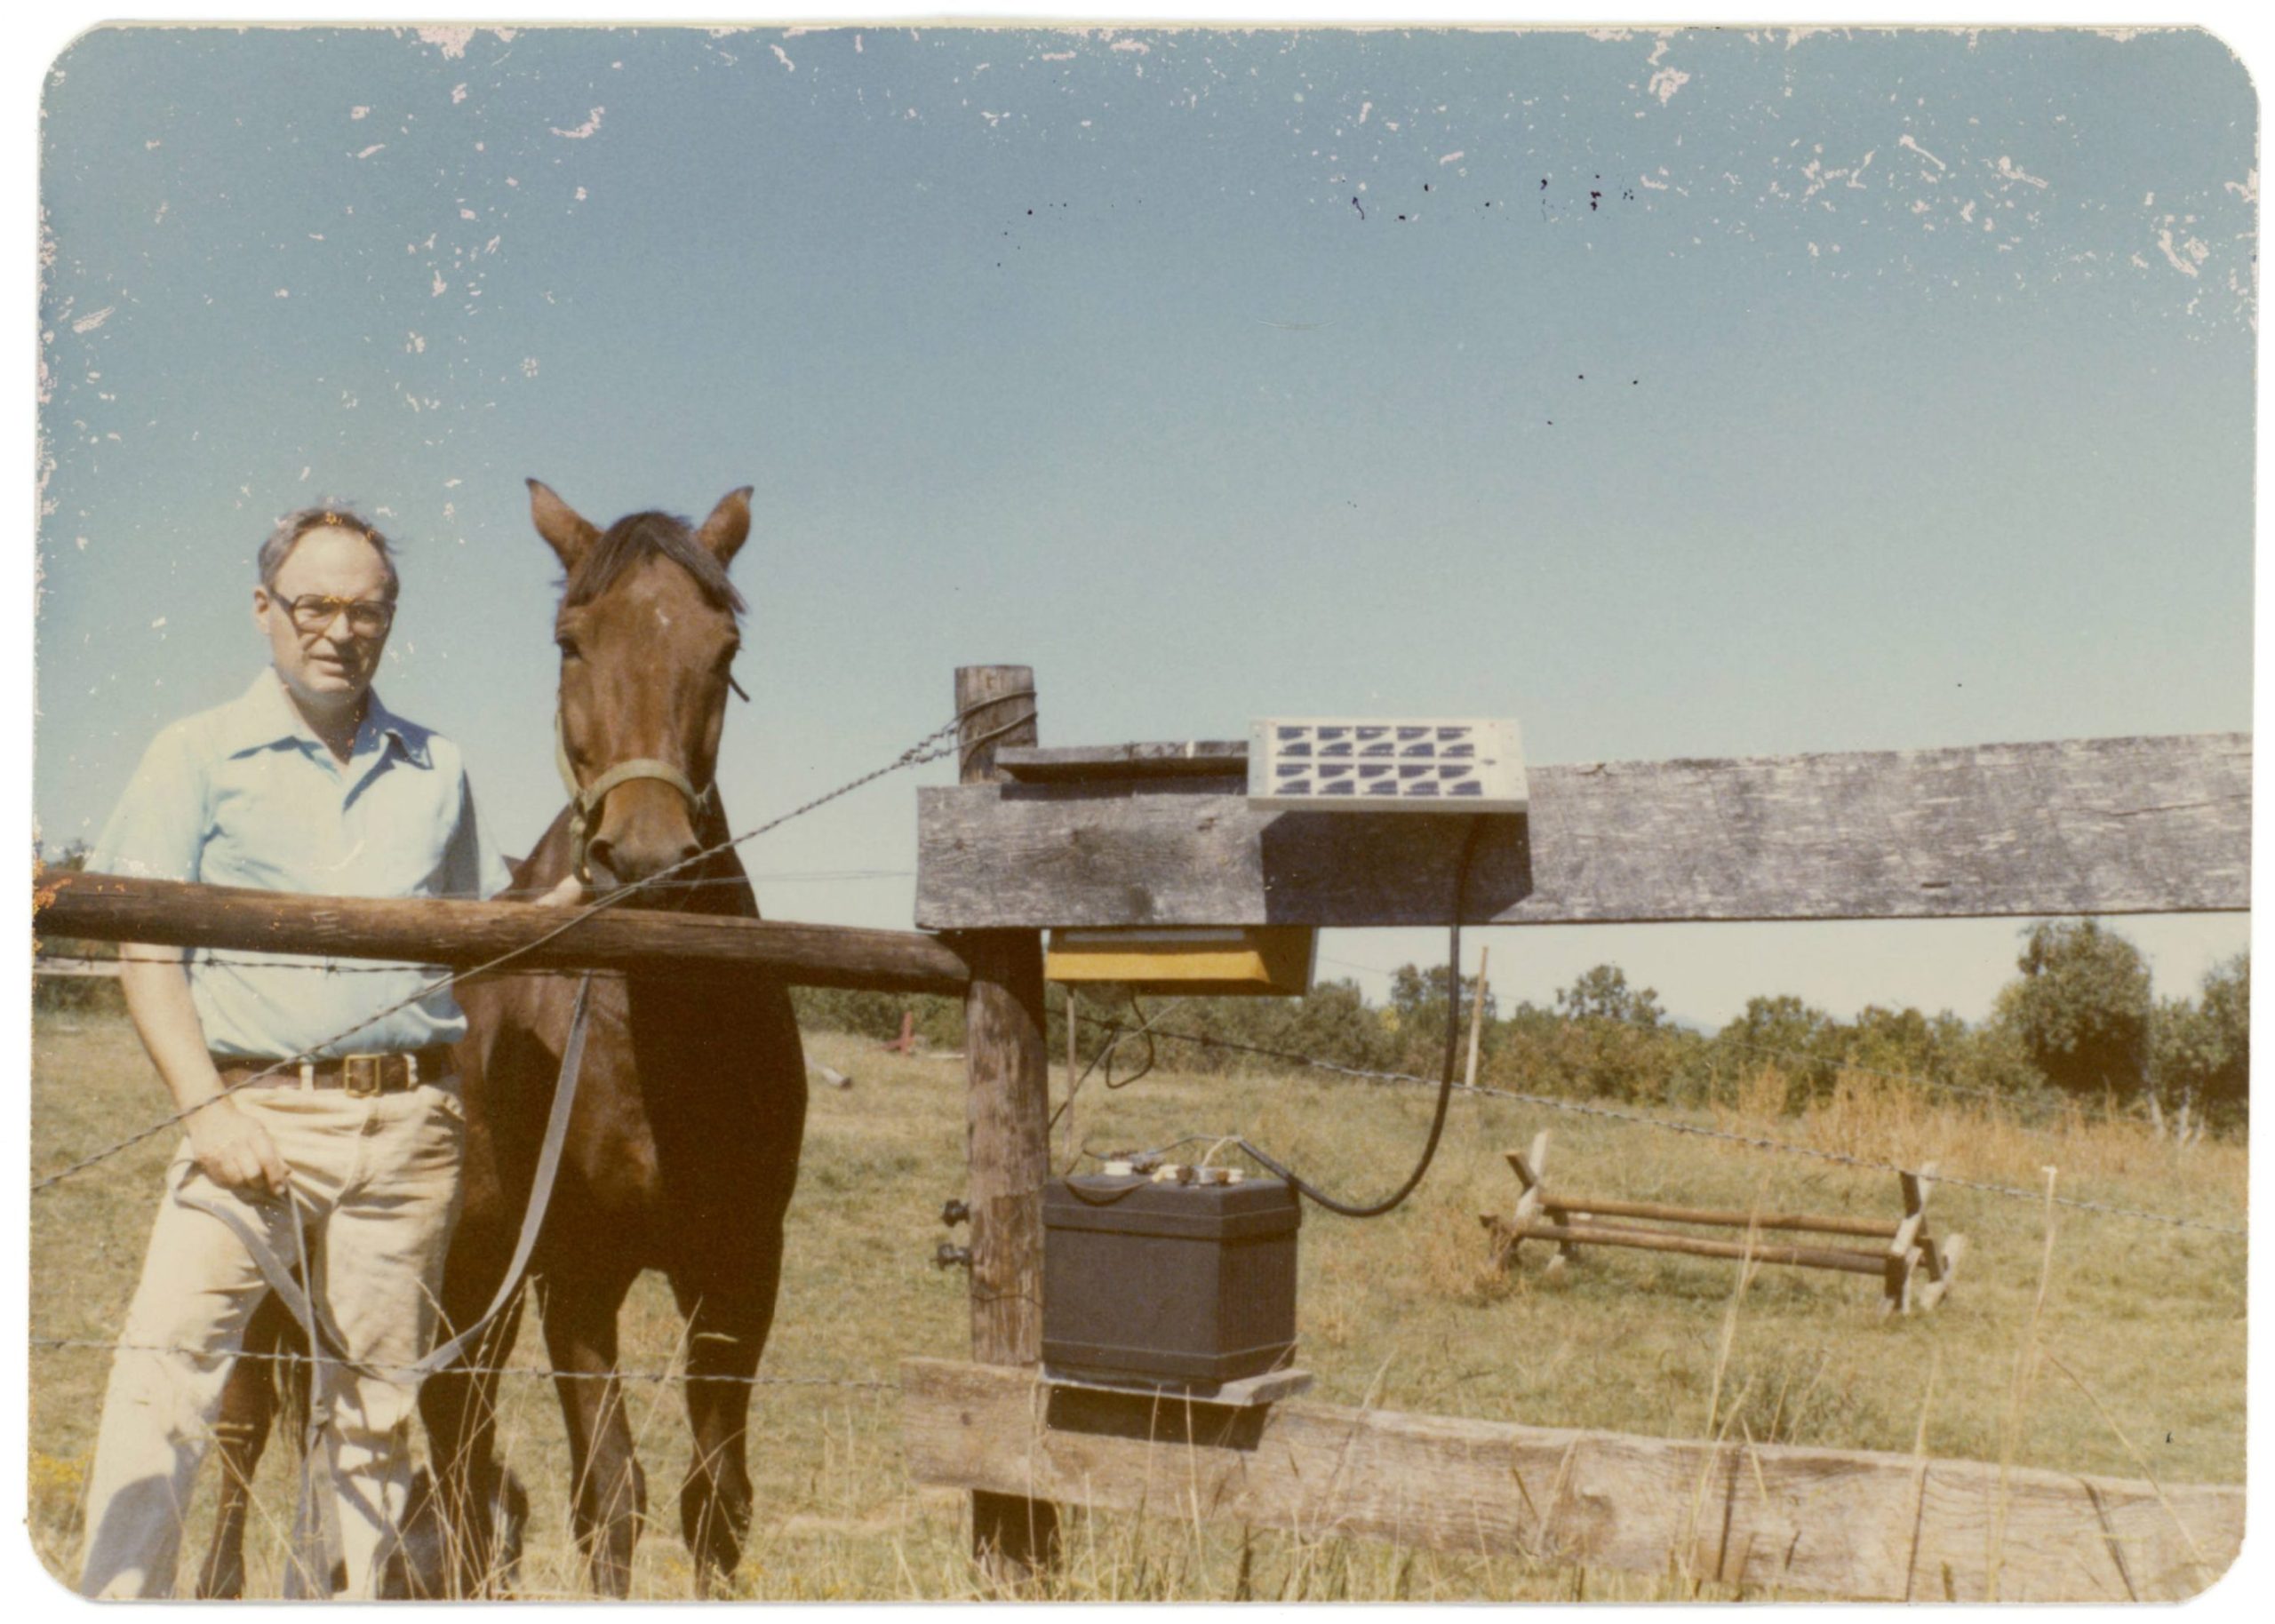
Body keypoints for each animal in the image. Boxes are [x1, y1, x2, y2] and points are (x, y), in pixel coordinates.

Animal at [197, 484, 810, 1592]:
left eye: (725, 645)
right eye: (571, 640)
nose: (644, 858)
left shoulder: (740, 1267)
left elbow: (715, 1501)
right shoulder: (580, 1276)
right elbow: (610, 1497)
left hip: (456, 1289)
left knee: (451, 1462)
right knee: (245, 1429)